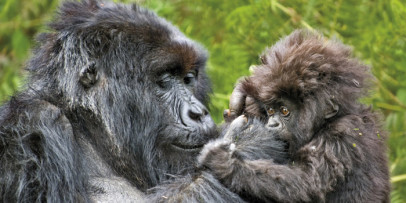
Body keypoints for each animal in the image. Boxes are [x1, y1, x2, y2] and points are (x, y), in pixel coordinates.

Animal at [0, 0, 241, 202]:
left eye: (188, 79)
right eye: (164, 81)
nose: (198, 114)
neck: (88, 132)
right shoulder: (31, 126)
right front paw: (243, 145)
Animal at [198, 29, 392, 202]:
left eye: (285, 111)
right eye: (270, 111)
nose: (272, 124)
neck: (330, 120)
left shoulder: (343, 134)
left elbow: (307, 183)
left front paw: (226, 163)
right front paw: (245, 96)